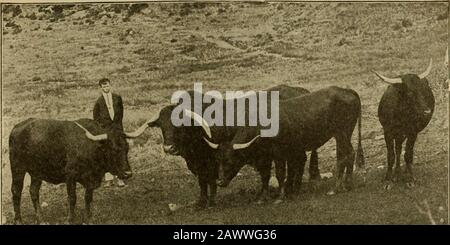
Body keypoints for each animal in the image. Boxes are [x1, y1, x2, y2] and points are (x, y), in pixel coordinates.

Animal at [8, 118, 144, 224]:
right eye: (113, 149)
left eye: (127, 148)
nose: (127, 173)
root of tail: (17, 127)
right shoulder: (70, 176)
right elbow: (72, 198)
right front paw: (70, 219)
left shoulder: (90, 181)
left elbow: (88, 198)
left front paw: (88, 219)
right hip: (17, 169)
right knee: (16, 191)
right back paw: (18, 220)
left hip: (37, 173)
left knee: (34, 192)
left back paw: (41, 220)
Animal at [204, 86, 366, 201]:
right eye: (219, 160)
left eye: (230, 161)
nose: (219, 182)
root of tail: (347, 90)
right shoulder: (270, 155)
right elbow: (268, 174)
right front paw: (266, 196)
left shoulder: (279, 153)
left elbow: (281, 173)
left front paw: (281, 196)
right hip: (342, 135)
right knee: (343, 155)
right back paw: (344, 185)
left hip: (342, 133)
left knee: (348, 154)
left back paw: (339, 187)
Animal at [370, 58, 434, 189]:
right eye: (410, 93)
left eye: (423, 89)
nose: (427, 111)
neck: (401, 114)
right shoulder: (387, 132)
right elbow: (391, 155)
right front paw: (388, 179)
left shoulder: (413, 133)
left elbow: (408, 154)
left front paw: (410, 178)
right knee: (398, 150)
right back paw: (397, 172)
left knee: (405, 152)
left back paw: (405, 171)